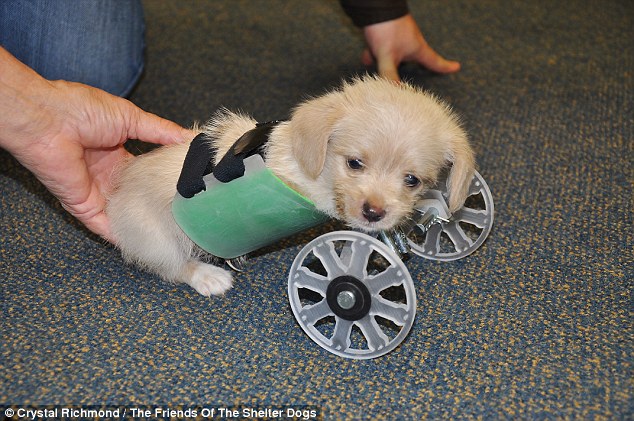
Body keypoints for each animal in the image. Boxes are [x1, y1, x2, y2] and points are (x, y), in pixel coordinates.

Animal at [106, 76, 472, 298]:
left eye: (412, 179)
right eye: (354, 163)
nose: (373, 213)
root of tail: (116, 199)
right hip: (158, 239)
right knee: (173, 267)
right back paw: (209, 276)